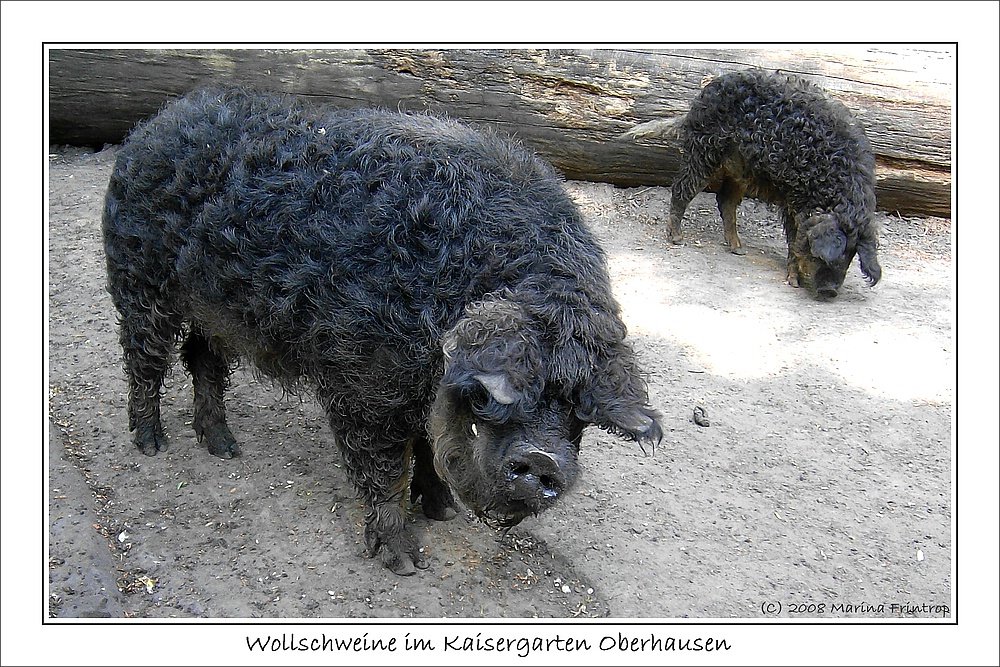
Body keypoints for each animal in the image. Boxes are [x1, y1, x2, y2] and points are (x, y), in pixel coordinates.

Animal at [103, 88, 664, 576]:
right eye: (491, 394)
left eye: (578, 409)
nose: (542, 458)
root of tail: (152, 126)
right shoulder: (363, 383)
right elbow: (386, 468)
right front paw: (407, 563)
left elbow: (430, 453)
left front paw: (443, 513)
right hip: (138, 283)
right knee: (145, 361)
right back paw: (151, 445)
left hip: (213, 311)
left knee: (203, 360)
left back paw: (224, 446)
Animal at [624, 68, 884, 298]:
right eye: (824, 255)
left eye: (851, 256)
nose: (830, 292)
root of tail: (695, 106)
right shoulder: (794, 197)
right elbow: (794, 239)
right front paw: (793, 283)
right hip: (704, 150)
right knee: (681, 188)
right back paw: (677, 239)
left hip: (741, 168)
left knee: (725, 200)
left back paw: (738, 249)